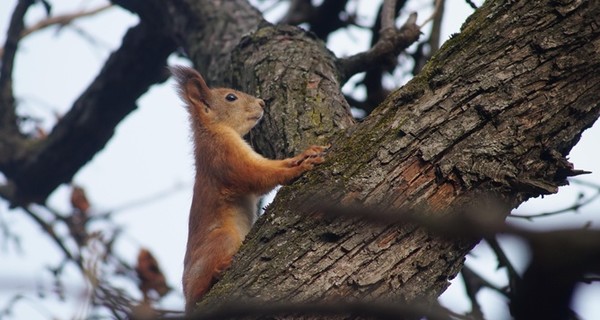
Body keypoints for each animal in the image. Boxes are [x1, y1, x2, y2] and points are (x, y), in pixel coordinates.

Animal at [169, 65, 328, 312]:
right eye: (230, 97)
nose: (262, 103)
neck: (213, 130)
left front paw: (303, 155)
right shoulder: (225, 157)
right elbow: (258, 175)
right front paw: (298, 168)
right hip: (223, 238)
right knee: (199, 289)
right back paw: (219, 270)